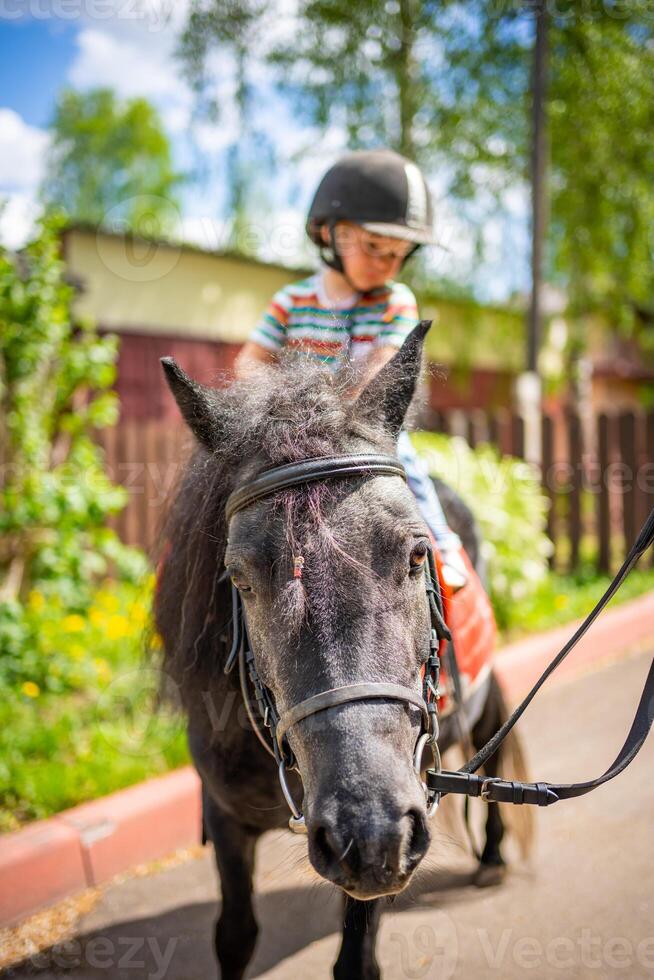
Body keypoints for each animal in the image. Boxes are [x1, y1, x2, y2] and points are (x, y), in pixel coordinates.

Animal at [155, 324, 532, 980]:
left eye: (417, 553)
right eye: (239, 577)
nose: (370, 830)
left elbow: (355, 960)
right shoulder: (225, 821)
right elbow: (234, 936)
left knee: (492, 741)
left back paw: (490, 855)